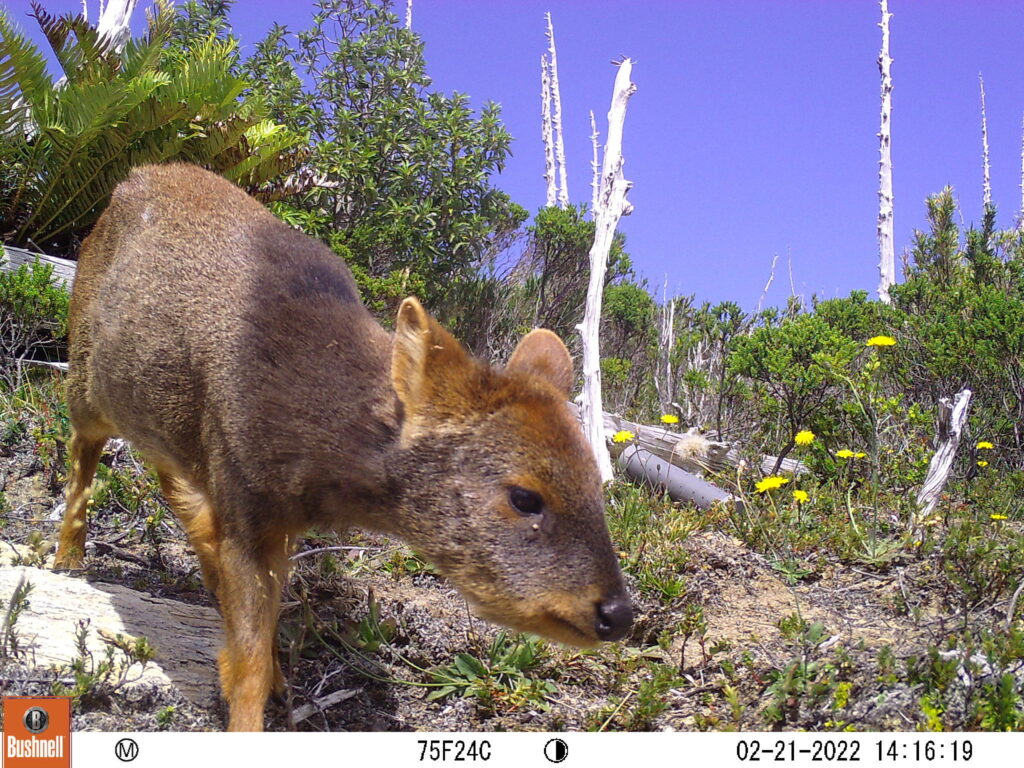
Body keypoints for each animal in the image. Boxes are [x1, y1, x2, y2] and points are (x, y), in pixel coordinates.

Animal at [56, 163, 634, 733]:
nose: (619, 615)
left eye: (597, 484)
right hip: (84, 372)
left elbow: (262, 627)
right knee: (82, 452)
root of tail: (127, 181)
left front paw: (277, 680)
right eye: (524, 497)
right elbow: (249, 664)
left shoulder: (269, 519)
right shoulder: (245, 503)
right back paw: (67, 559)